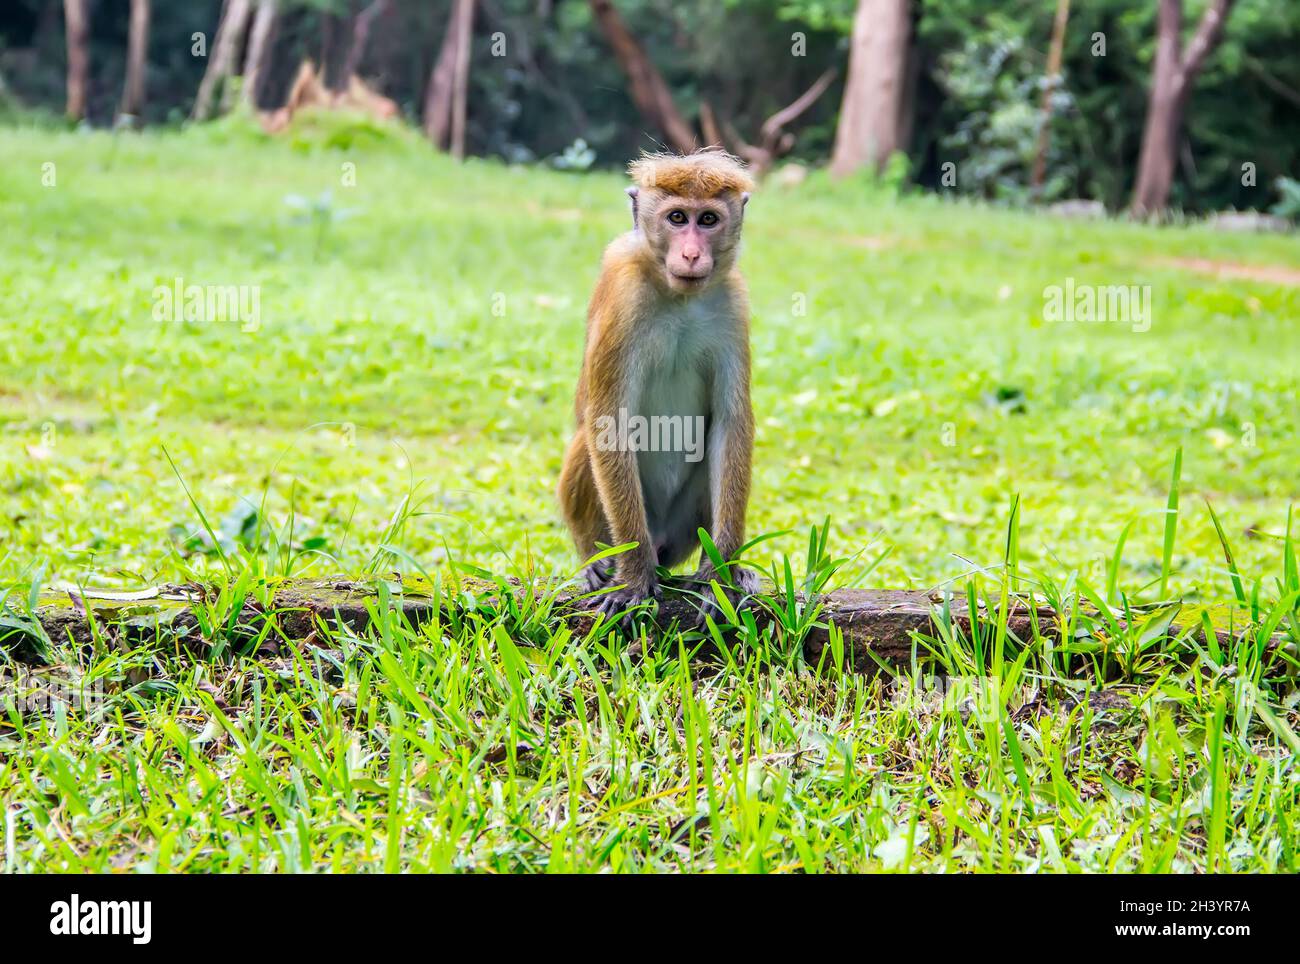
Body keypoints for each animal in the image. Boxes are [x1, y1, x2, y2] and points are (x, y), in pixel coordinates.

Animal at [557, 149, 759, 627]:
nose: (691, 253)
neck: (679, 297)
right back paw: (597, 564)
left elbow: (730, 424)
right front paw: (633, 578)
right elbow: (608, 423)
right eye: (676, 217)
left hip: (682, 528)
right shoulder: (623, 296)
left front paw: (720, 576)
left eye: (708, 219)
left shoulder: (732, 302)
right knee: (587, 440)